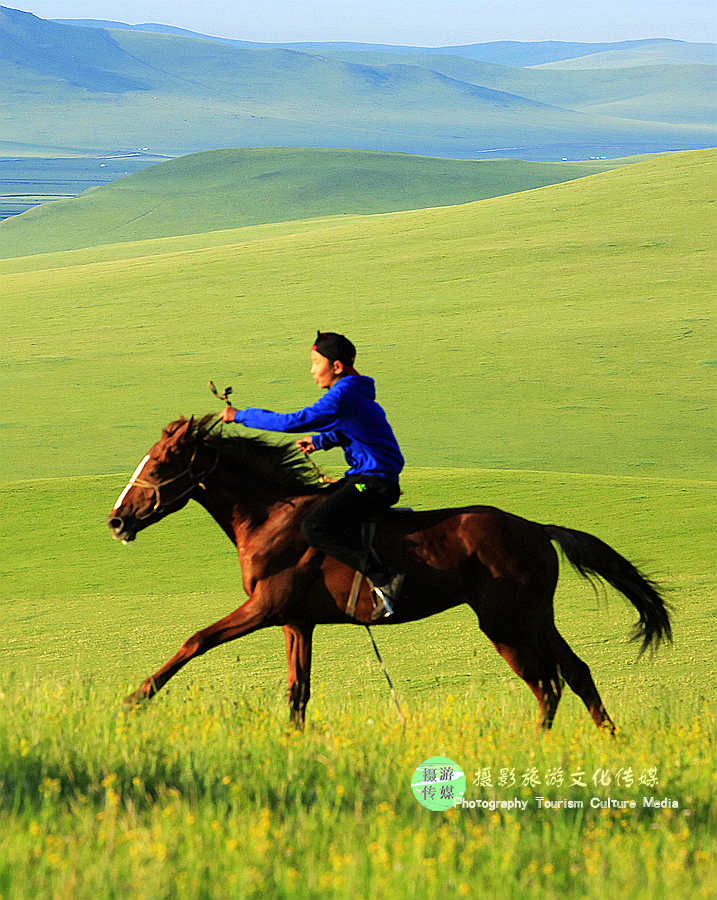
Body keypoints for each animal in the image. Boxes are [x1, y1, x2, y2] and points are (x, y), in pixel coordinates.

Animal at [106, 414, 672, 732]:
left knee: (547, 684)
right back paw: (608, 739)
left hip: (506, 623)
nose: (116, 520)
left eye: (160, 463)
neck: (271, 516)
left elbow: (195, 641)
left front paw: (134, 699)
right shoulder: (297, 623)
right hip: (534, 618)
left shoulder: (264, 608)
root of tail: (536, 527)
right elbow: (297, 691)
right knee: (574, 673)